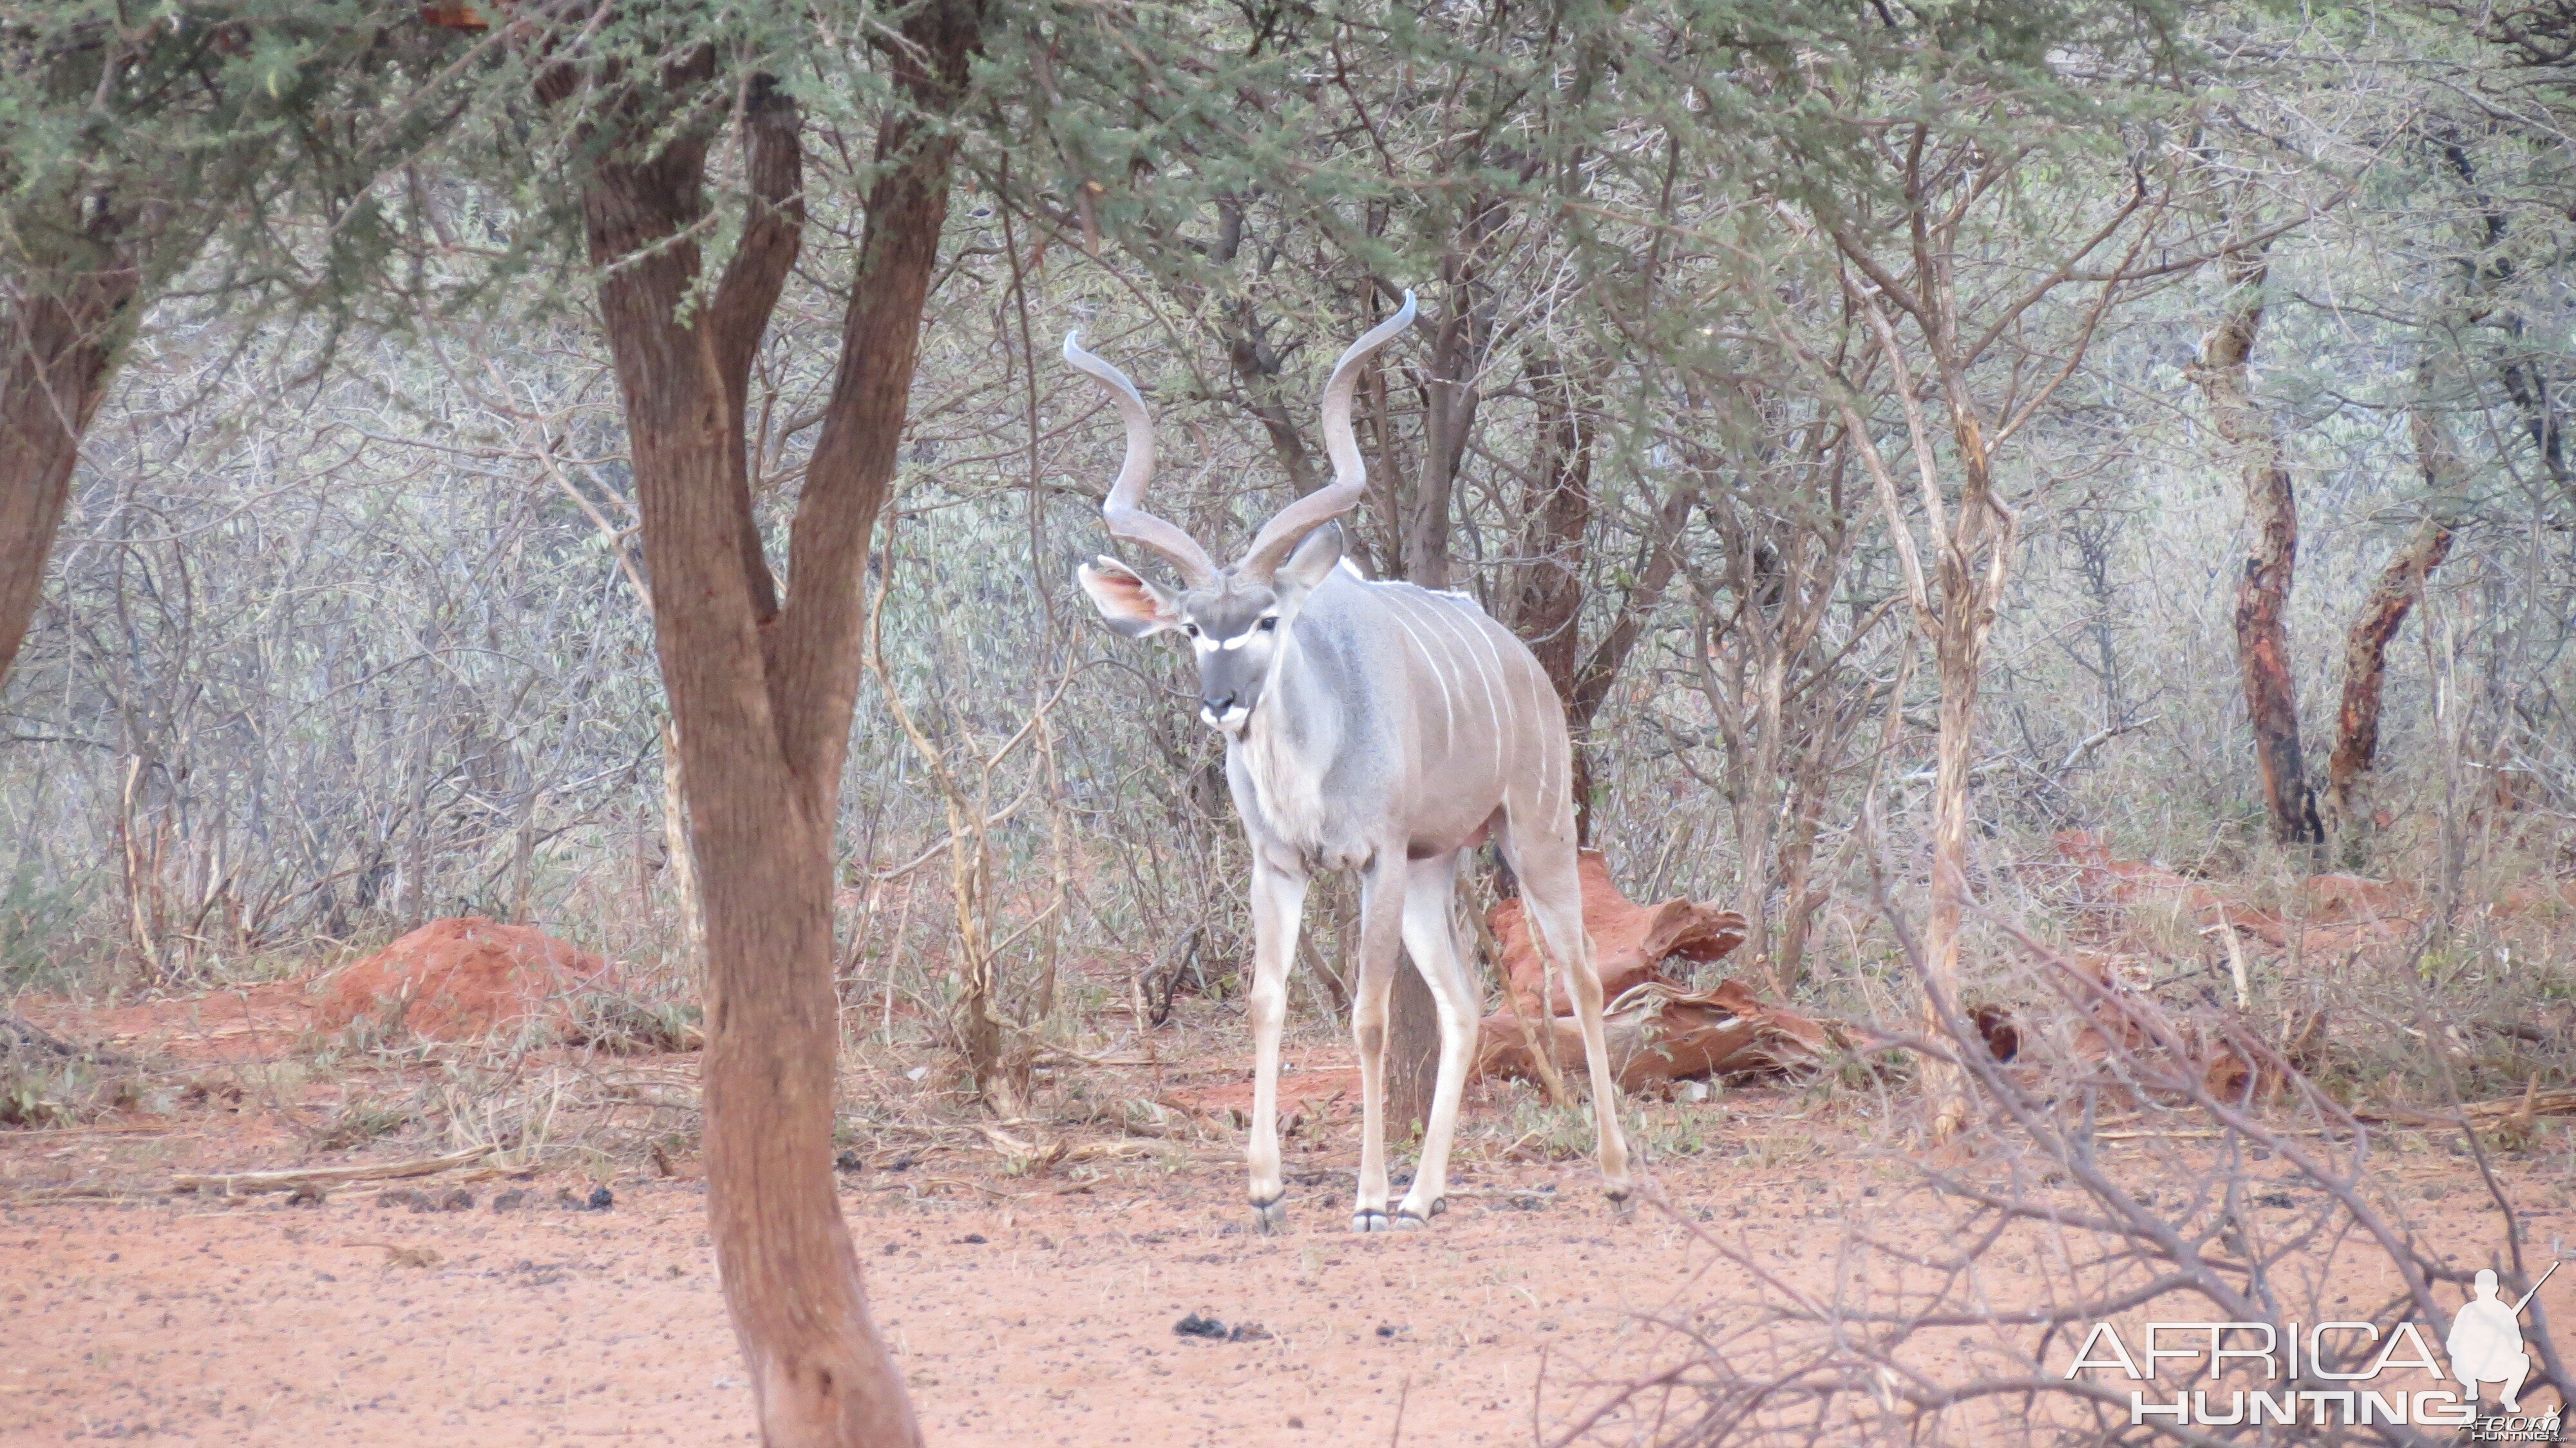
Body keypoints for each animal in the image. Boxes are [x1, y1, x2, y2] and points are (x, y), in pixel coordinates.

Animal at [1066, 294, 1628, 1226]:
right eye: (1192, 628)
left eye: (1266, 619)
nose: (1221, 701)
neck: (1309, 766)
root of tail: (1524, 664)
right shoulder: (1280, 866)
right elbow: (1266, 1002)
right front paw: (1265, 1192)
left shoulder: (1378, 858)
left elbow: (1367, 1017)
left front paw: (1365, 1197)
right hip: (1439, 867)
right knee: (1464, 1004)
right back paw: (1424, 1196)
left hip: (1532, 832)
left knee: (1580, 975)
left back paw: (1614, 1176)